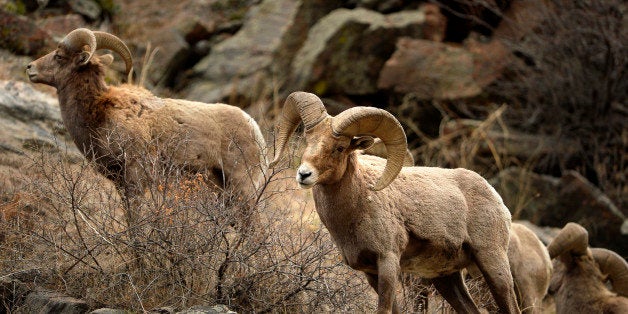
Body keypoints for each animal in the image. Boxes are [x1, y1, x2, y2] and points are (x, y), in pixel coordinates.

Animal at [27, 28, 266, 213]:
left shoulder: (136, 178)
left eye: (59, 56)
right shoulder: (120, 184)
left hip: (242, 188)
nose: (30, 68)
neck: (99, 112)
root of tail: (255, 130)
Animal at [270, 91, 520, 314]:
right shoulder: (372, 273)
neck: (358, 206)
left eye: (339, 148)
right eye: (307, 140)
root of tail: (495, 197)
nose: (304, 174)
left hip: (493, 262)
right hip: (446, 278)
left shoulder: (388, 262)